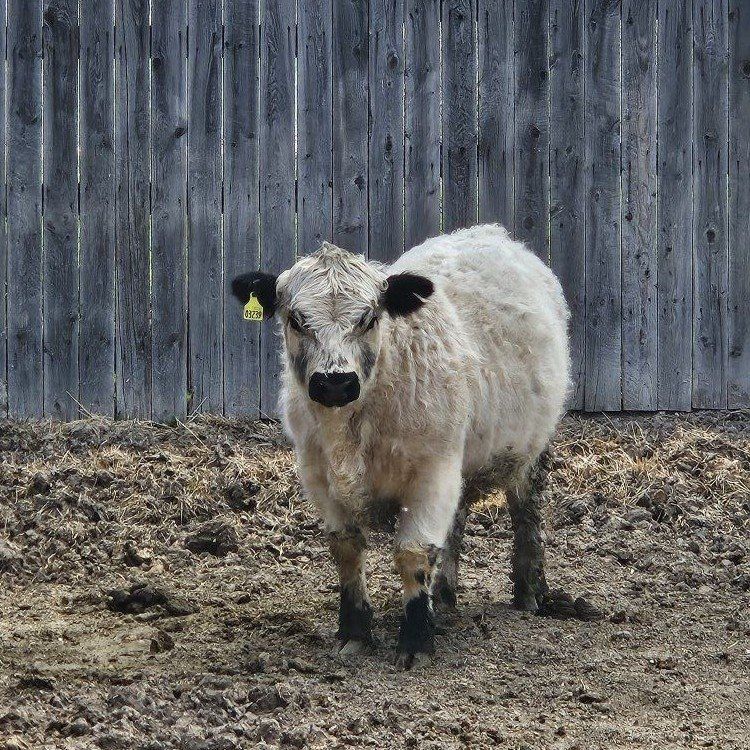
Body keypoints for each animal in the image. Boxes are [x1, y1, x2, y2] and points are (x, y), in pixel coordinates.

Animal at [232, 224, 572, 668]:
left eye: (369, 318)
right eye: (296, 319)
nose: (335, 382)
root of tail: (491, 233)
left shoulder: (433, 470)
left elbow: (414, 552)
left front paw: (415, 639)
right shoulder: (318, 475)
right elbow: (346, 549)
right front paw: (355, 632)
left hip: (531, 449)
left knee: (526, 514)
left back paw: (530, 592)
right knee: (456, 524)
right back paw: (443, 597)